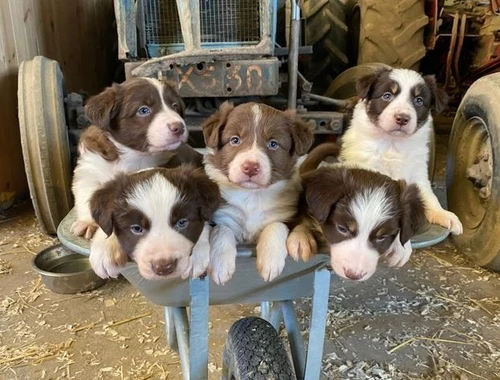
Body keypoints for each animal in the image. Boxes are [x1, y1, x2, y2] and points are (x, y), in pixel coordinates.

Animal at [71, 77, 200, 239]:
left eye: (175, 106)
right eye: (143, 110)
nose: (179, 127)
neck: (132, 154)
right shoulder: (90, 168)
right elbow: (86, 195)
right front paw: (87, 223)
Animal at [202, 102, 312, 284]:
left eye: (273, 144)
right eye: (235, 140)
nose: (250, 167)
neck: (251, 196)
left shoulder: (286, 214)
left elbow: (276, 225)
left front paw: (270, 261)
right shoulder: (220, 216)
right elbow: (222, 230)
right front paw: (219, 263)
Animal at [288, 144, 428, 280]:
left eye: (382, 237)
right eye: (342, 228)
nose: (354, 275)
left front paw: (400, 248)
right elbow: (301, 221)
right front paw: (301, 239)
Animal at [342, 67, 462, 236]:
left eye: (418, 100)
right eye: (387, 96)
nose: (402, 118)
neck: (393, 143)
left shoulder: (418, 174)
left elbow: (429, 196)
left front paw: (444, 215)